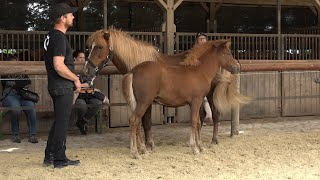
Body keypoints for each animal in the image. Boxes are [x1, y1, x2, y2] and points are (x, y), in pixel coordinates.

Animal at [84, 28, 250, 150]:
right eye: (89, 47)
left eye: (99, 47)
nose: (87, 70)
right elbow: (144, 122)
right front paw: (146, 145)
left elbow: (147, 122)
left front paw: (148, 145)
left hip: (209, 94)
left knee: (214, 114)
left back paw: (213, 140)